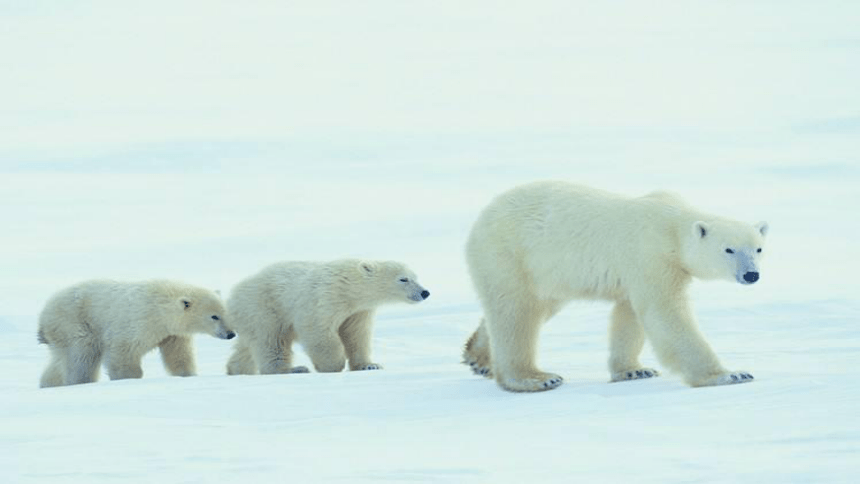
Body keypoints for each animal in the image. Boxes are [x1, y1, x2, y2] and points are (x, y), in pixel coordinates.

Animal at [37, 278, 235, 388]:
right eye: (214, 316)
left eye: (225, 313)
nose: (230, 334)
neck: (160, 306)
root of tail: (44, 314)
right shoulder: (137, 322)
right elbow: (123, 352)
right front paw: (128, 379)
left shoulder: (172, 334)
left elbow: (178, 355)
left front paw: (188, 375)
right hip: (74, 321)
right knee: (83, 354)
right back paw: (81, 381)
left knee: (60, 360)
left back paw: (48, 384)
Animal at [227, 260, 430, 376]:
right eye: (403, 279)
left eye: (416, 276)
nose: (425, 292)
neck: (348, 286)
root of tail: (234, 295)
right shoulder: (325, 298)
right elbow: (318, 330)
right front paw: (332, 365)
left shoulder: (358, 311)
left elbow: (357, 335)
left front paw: (369, 365)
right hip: (265, 307)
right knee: (272, 340)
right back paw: (291, 369)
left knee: (247, 346)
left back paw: (236, 370)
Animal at [466, 182, 768, 394]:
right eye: (728, 249)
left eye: (758, 248)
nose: (751, 274)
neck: (671, 225)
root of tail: (481, 218)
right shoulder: (652, 256)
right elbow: (666, 314)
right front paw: (730, 374)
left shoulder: (638, 271)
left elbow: (629, 315)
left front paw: (633, 371)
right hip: (510, 254)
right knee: (516, 313)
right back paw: (535, 378)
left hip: (545, 274)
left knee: (534, 307)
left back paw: (478, 357)